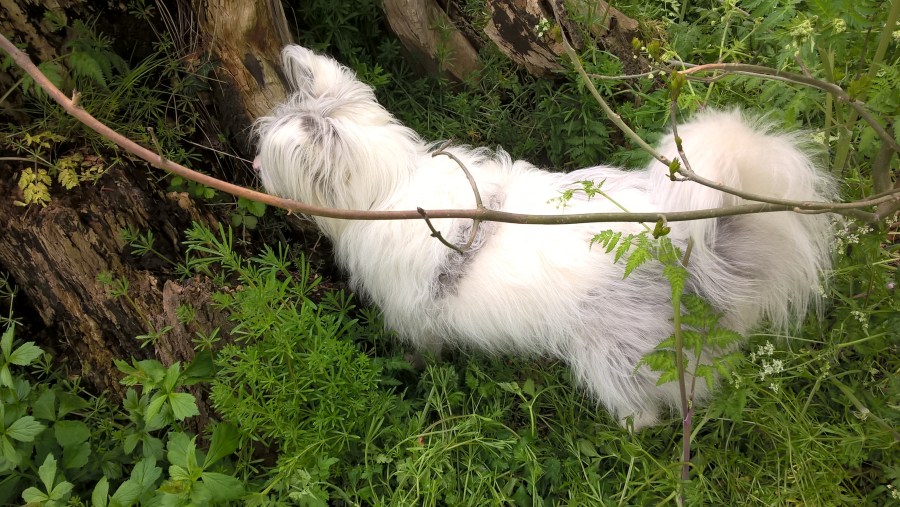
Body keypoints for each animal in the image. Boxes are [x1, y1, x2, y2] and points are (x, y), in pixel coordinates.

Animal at [253, 46, 835, 429]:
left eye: (272, 156)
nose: (254, 165)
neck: (390, 187)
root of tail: (694, 256)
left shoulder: (416, 321)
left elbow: (422, 353)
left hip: (612, 358)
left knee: (646, 412)